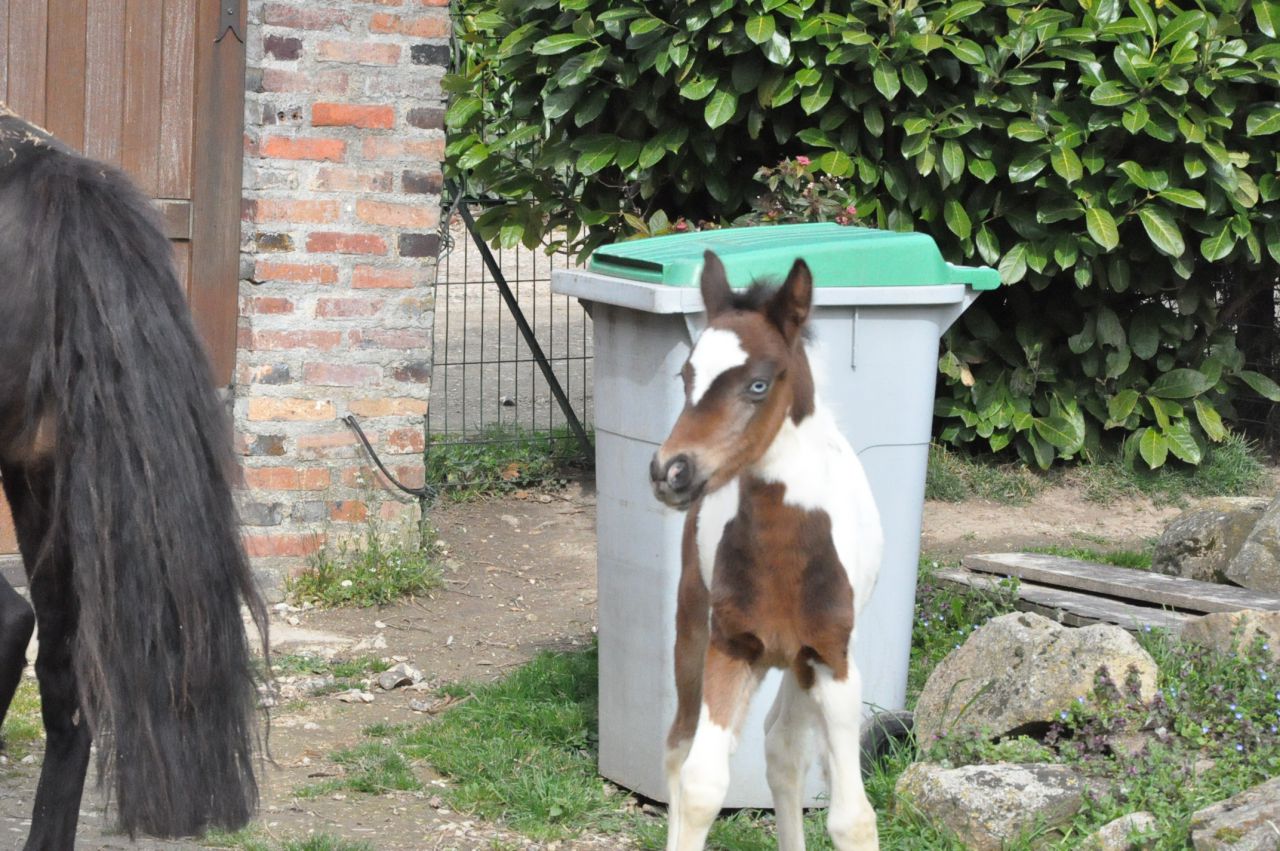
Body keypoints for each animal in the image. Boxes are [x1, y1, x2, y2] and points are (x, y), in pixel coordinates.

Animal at [649, 252, 883, 851]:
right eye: (686, 377)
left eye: (758, 384)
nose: (670, 471)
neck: (787, 554)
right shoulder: (732, 645)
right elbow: (702, 783)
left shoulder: (831, 660)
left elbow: (852, 817)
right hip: (693, 620)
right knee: (680, 744)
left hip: (799, 665)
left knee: (783, 752)